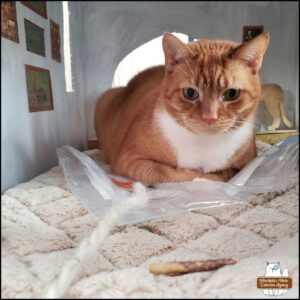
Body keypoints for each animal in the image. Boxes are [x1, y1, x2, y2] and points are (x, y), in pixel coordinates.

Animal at [95, 32, 270, 185]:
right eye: (190, 93)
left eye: (231, 94)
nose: (209, 117)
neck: (205, 144)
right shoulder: (130, 159)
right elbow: (169, 173)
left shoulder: (248, 160)